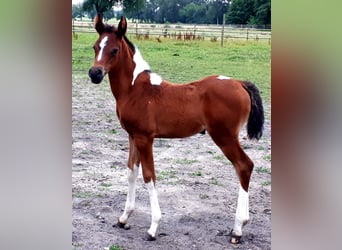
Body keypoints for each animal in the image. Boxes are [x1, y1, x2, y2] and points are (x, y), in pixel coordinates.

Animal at [88, 14, 264, 244]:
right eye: (95, 47)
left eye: (114, 50)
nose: (94, 74)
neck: (135, 90)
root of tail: (240, 83)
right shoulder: (132, 136)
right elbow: (131, 173)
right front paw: (124, 218)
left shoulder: (145, 138)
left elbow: (149, 176)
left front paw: (153, 227)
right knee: (244, 167)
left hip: (224, 136)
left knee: (244, 166)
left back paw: (237, 229)